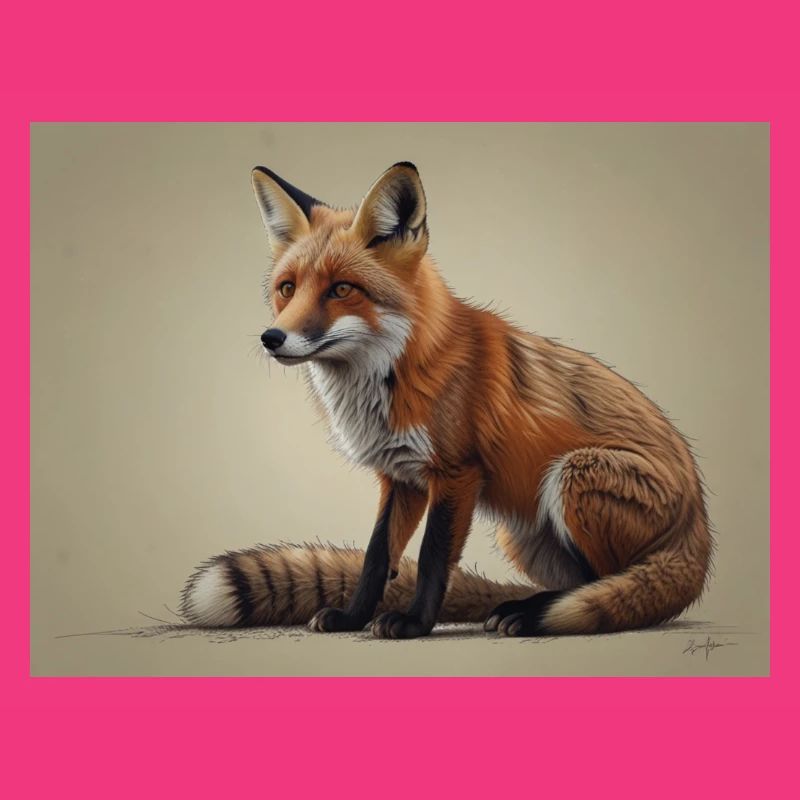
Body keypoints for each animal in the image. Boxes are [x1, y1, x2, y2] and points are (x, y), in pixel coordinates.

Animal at [179, 161, 713, 638]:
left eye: (342, 289)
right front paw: (353, 617)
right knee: (585, 584)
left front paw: (414, 624)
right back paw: (520, 606)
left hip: (572, 473)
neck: (397, 374)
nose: (272, 338)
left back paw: (530, 615)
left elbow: (434, 557)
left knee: (611, 588)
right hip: (520, 530)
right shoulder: (400, 477)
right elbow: (377, 557)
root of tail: (699, 527)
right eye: (287, 289)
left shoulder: (458, 472)